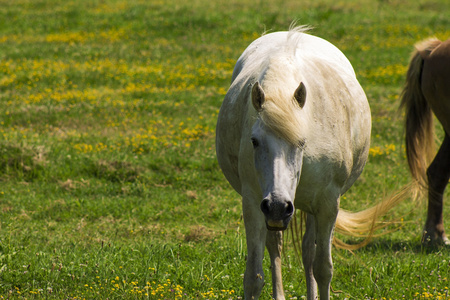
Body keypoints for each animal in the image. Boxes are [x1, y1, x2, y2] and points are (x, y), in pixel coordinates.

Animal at [216, 27, 370, 298]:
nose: (278, 205)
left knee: (308, 250)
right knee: (275, 246)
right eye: (254, 141)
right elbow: (253, 276)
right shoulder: (253, 203)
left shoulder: (328, 204)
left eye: (301, 142)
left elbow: (323, 269)